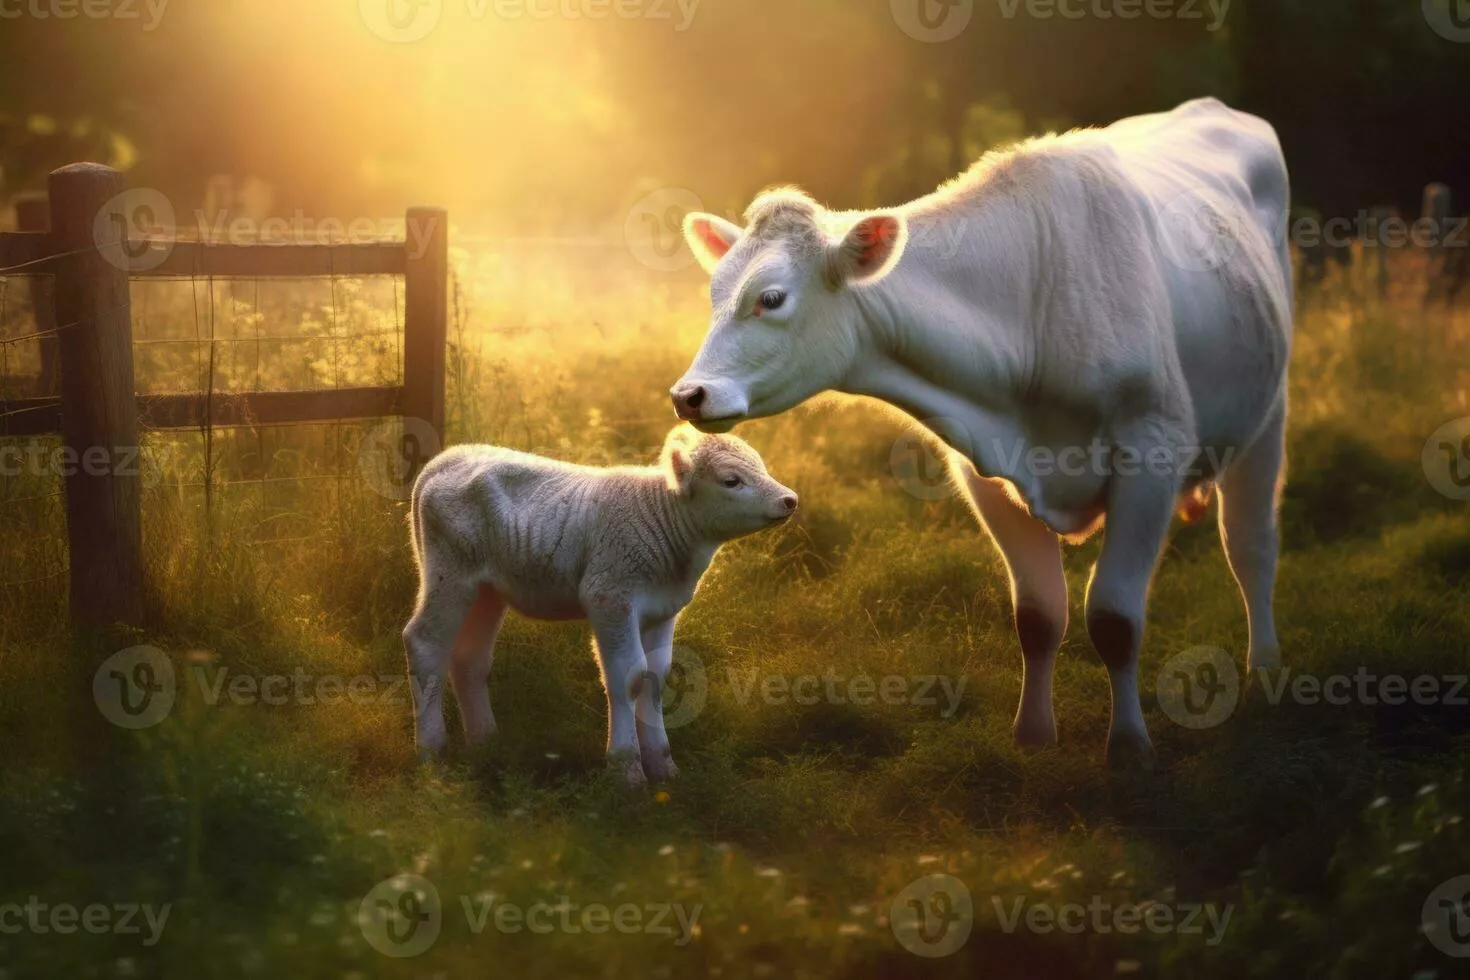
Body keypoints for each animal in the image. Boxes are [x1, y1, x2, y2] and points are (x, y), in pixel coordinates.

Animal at [669, 97, 1292, 768]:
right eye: (714, 292)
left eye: (772, 298)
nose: (687, 394)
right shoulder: (986, 471)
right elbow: (1039, 616)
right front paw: (1034, 736)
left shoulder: (1152, 452)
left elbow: (1114, 617)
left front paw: (1128, 746)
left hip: (1268, 410)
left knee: (1250, 546)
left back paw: (1265, 669)